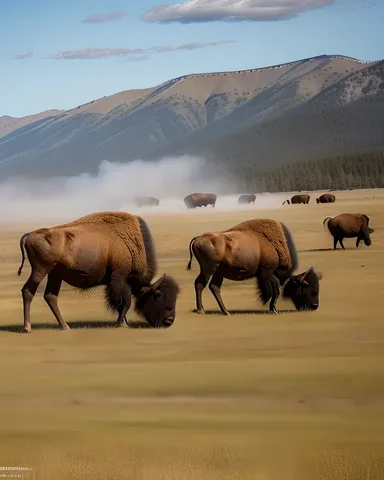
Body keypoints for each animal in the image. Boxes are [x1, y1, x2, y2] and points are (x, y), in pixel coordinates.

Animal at [17, 212, 179, 332]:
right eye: (158, 295)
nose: (169, 321)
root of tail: (31, 234)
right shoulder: (121, 279)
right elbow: (124, 303)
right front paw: (122, 323)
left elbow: (122, 304)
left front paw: (123, 322)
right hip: (40, 270)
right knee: (28, 291)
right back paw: (27, 328)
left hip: (55, 274)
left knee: (50, 296)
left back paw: (65, 327)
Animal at [186, 218, 320, 316]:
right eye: (311, 289)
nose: (314, 306)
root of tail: (199, 238)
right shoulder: (267, 272)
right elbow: (275, 289)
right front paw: (274, 309)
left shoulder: (263, 275)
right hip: (208, 270)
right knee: (200, 284)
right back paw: (202, 310)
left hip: (218, 273)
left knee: (214, 287)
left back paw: (225, 311)